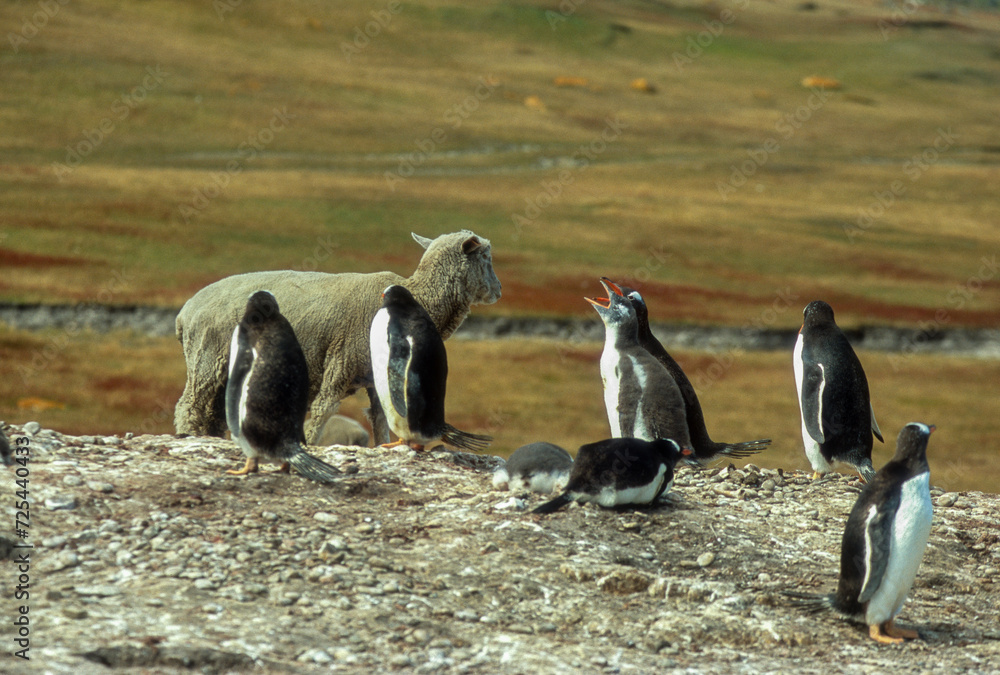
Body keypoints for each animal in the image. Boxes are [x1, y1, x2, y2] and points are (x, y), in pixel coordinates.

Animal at [174, 230, 501, 444]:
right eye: (486, 256)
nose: (498, 291)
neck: (419, 297)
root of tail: (185, 312)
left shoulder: (373, 374)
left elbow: (380, 417)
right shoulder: (340, 362)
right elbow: (323, 411)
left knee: (213, 414)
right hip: (207, 361)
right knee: (189, 407)